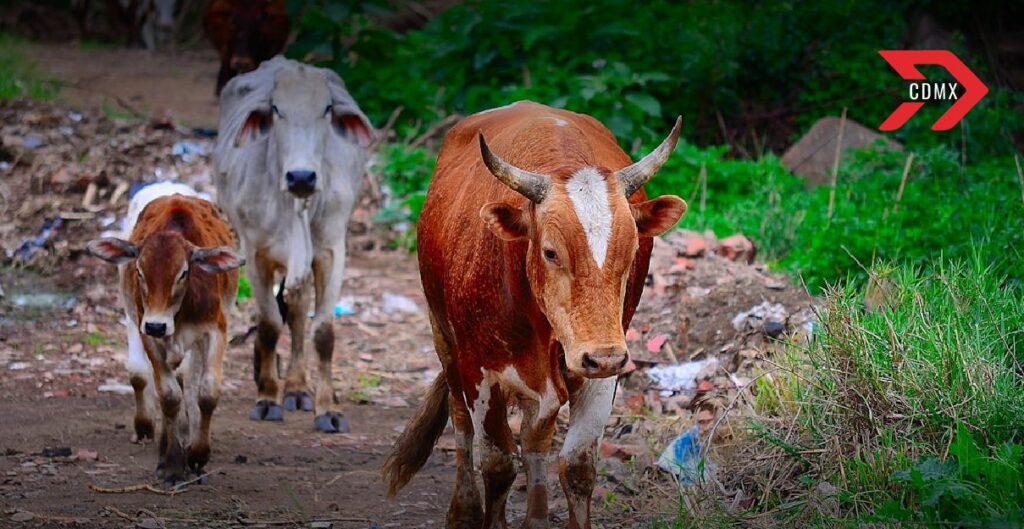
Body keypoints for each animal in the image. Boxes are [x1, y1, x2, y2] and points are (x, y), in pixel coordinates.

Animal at [86, 193, 241, 482]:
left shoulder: (216, 330)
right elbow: (168, 396)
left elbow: (206, 393)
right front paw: (171, 462)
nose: (157, 325)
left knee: (189, 384)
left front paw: (198, 453)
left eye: (183, 272)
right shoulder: (147, 333)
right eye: (139, 271)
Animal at [214, 55, 374, 431]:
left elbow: (323, 332)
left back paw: (298, 387)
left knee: (299, 312)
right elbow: (270, 325)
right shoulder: (255, 254)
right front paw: (267, 397)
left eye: (327, 109)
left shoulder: (332, 251)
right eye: (276, 109)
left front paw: (328, 409)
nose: (302, 177)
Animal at [385, 101, 688, 523]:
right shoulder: (479, 371)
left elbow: (576, 467)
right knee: (462, 425)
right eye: (550, 252)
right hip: (442, 337)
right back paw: (463, 509)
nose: (602, 356)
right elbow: (497, 463)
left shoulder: (602, 370)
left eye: (632, 252)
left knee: (534, 439)